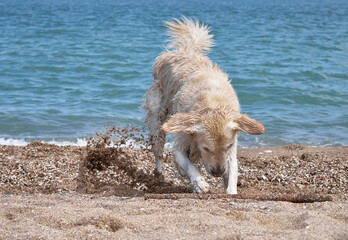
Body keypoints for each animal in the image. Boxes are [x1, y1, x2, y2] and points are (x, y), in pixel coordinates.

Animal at [143, 17, 266, 194]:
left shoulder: (232, 151)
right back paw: (160, 175)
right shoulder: (180, 143)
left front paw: (230, 190)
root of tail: (183, 50)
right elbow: (189, 166)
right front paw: (200, 183)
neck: (212, 102)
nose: (218, 172)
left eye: (227, 147)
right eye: (207, 148)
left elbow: (232, 172)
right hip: (157, 118)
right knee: (158, 151)